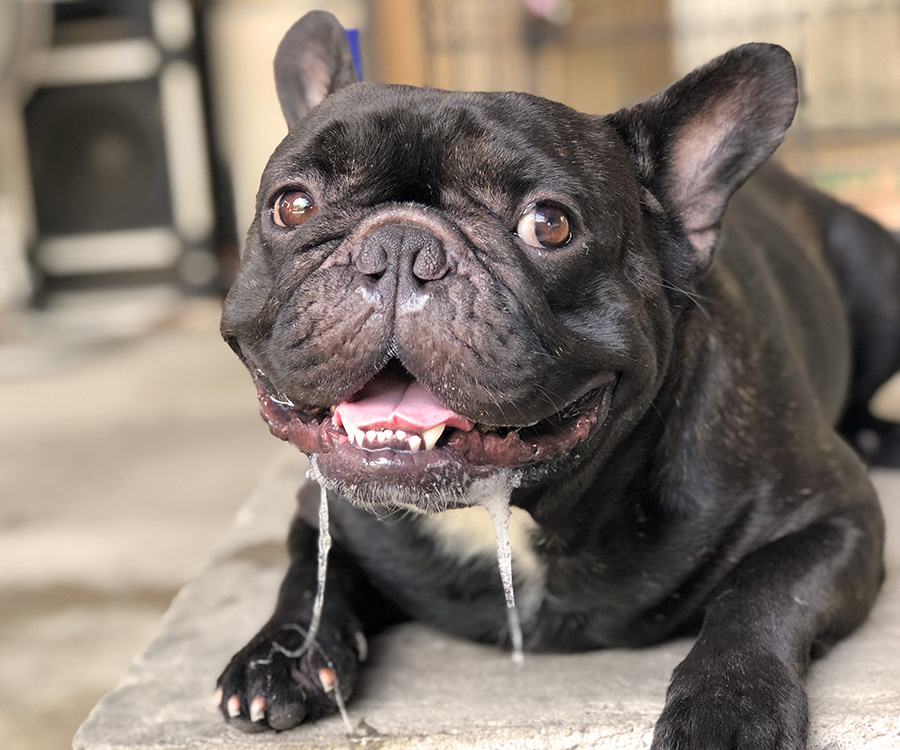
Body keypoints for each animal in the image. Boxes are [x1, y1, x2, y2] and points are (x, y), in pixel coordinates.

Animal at [218, 8, 900, 748]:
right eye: (293, 206)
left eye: (549, 225)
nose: (400, 243)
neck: (509, 515)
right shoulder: (323, 509)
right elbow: (308, 577)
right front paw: (281, 654)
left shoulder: (837, 517)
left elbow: (762, 591)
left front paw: (729, 705)